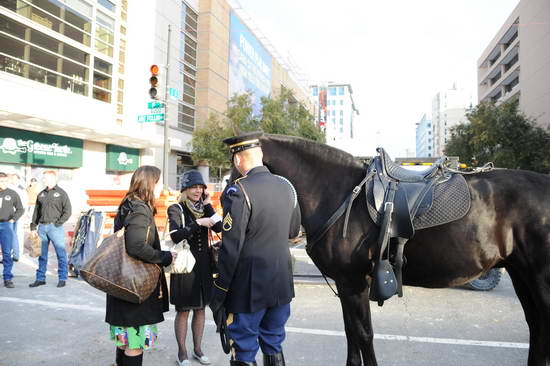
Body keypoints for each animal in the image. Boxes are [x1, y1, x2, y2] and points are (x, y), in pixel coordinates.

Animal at [247, 134, 550, 366]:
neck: (340, 192)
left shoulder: (353, 282)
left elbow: (363, 334)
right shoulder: (346, 284)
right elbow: (351, 332)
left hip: (540, 280)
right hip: (521, 275)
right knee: (536, 326)